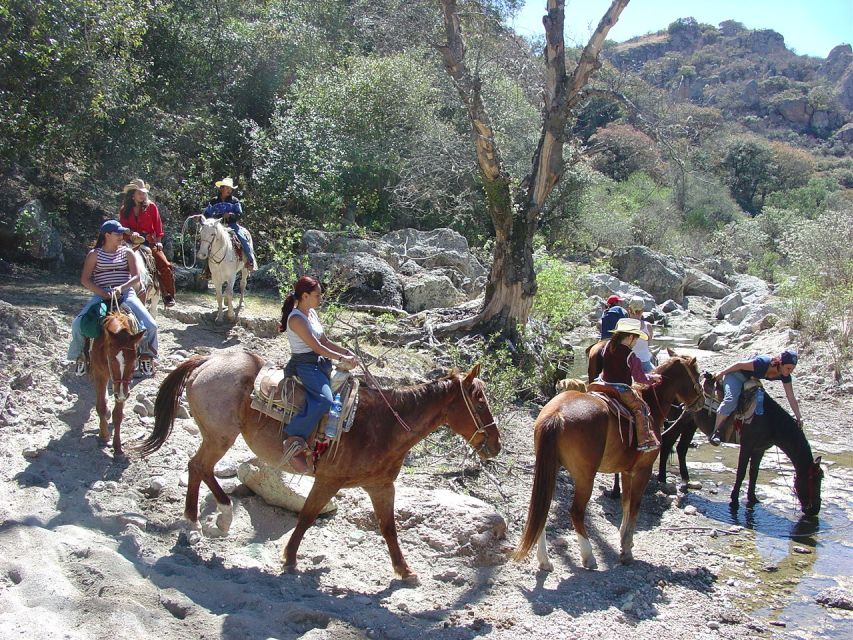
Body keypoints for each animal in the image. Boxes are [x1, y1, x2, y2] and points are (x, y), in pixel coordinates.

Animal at [86, 308, 143, 456]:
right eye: (111, 360)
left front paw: (117, 446)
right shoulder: (100, 375)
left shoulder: (123, 388)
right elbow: (100, 406)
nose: (121, 395)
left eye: (134, 361)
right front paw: (104, 434)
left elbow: (118, 415)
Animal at [137, 352, 500, 584]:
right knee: (199, 466)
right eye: (480, 400)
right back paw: (209, 518)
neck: (384, 425)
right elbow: (308, 516)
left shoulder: (381, 485)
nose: (496, 444)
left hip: (216, 436)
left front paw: (405, 571)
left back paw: (204, 520)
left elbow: (388, 529)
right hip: (220, 436)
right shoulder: (328, 480)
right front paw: (289, 559)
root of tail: (208, 361)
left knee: (197, 467)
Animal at [510, 356, 704, 568]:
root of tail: (556, 414)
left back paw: (545, 560)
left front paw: (624, 539)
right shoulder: (642, 470)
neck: (651, 404)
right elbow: (634, 506)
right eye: (697, 373)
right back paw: (588, 556)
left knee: (542, 511)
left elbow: (626, 503)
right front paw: (626, 550)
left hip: (550, 469)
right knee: (576, 512)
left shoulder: (627, 471)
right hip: (585, 477)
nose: (702, 401)